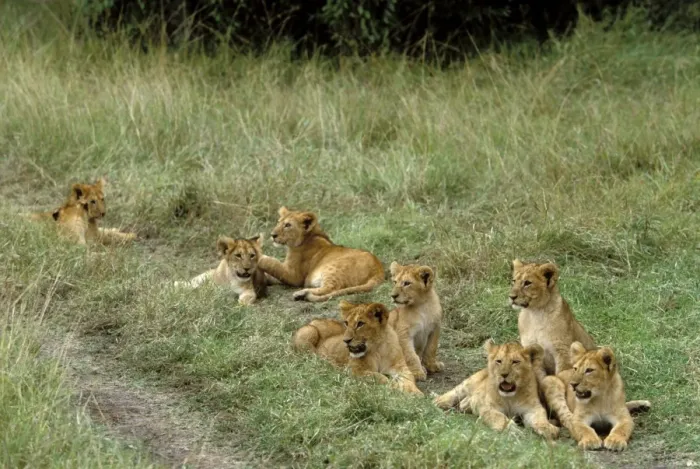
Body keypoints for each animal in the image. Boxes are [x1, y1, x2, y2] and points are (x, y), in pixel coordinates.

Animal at [292, 301, 423, 395]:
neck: (378, 349)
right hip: (309, 331)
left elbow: (409, 378)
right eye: (346, 323)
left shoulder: (400, 367)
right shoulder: (354, 371)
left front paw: (414, 392)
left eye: (360, 324)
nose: (345, 340)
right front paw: (394, 386)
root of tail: (313, 321)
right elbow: (378, 377)